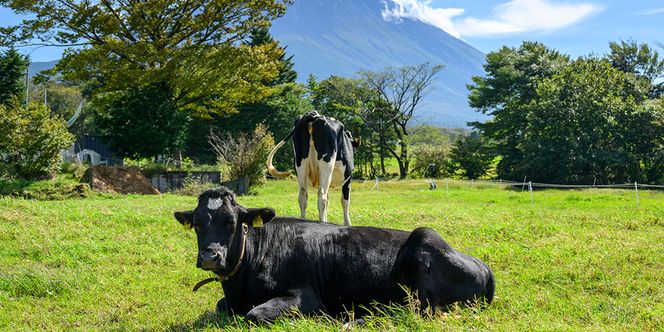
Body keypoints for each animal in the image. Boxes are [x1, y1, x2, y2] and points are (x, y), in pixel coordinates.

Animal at [174, 188, 496, 322]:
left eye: (231, 222)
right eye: (198, 224)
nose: (210, 257)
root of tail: (483, 266)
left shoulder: (305, 296)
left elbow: (254, 315)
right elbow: (220, 306)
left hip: (424, 240)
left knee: (412, 312)